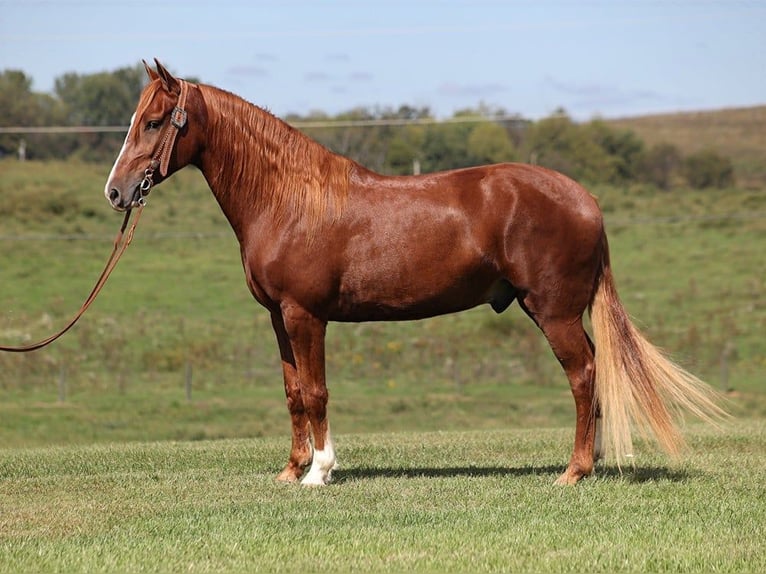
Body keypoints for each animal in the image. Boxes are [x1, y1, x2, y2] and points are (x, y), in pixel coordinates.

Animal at [104, 59, 726, 486]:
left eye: (154, 122)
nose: (116, 191)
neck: (290, 199)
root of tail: (585, 198)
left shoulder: (306, 316)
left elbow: (317, 391)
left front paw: (319, 472)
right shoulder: (279, 318)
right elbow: (292, 392)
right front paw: (292, 468)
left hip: (554, 313)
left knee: (584, 374)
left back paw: (572, 472)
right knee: (592, 376)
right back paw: (587, 463)